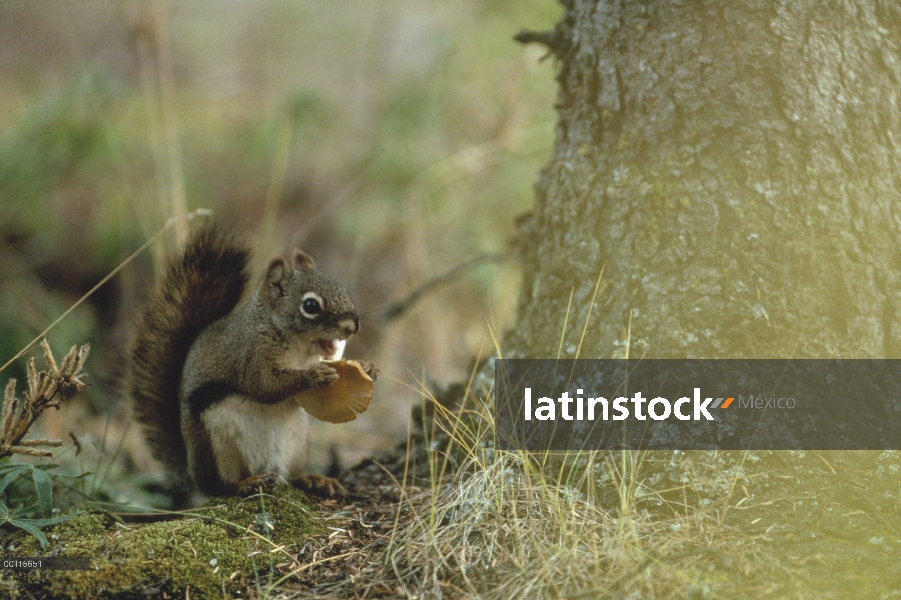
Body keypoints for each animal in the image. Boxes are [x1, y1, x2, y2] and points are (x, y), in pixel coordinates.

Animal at [129, 223, 376, 500]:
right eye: (311, 305)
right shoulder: (251, 353)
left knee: (291, 477)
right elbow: (265, 385)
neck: (300, 347)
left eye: (343, 290)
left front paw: (367, 367)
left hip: (298, 445)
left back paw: (314, 479)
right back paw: (246, 483)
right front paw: (315, 376)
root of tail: (194, 475)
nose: (352, 327)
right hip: (215, 445)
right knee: (220, 488)